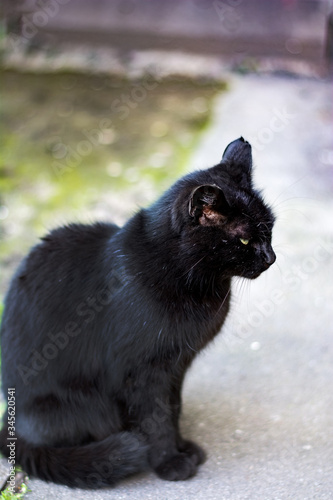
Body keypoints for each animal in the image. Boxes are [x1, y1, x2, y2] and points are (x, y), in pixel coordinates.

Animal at [0, 138, 274, 488]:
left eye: (271, 229)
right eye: (244, 239)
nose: (271, 257)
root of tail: (10, 419)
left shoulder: (176, 366)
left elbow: (173, 408)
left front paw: (182, 447)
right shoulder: (141, 373)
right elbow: (155, 418)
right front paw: (170, 462)